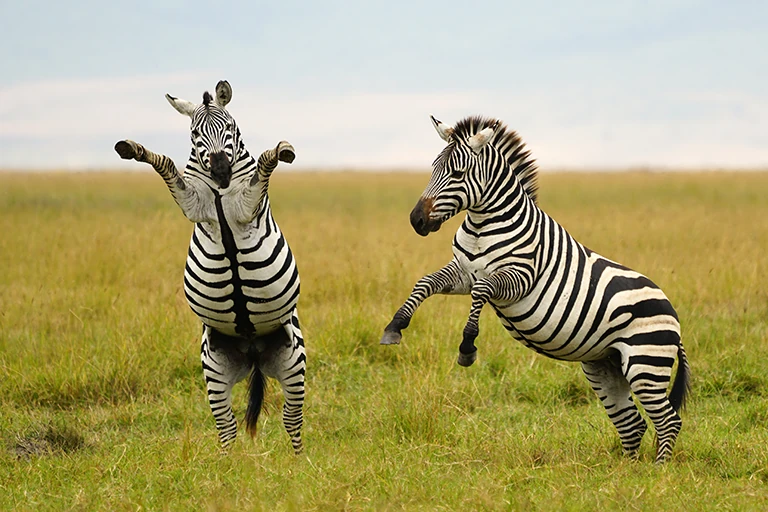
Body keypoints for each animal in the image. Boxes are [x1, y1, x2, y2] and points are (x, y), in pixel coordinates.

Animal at [114, 80, 306, 454]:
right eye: (194, 134)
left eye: (230, 127)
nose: (220, 171)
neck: (219, 191)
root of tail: (253, 351)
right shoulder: (193, 204)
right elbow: (166, 165)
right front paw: (133, 148)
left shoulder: (248, 204)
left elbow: (265, 163)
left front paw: (284, 149)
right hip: (214, 370)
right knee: (226, 426)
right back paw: (227, 464)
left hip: (294, 362)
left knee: (292, 420)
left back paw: (299, 464)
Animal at [380, 115, 690, 463]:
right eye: (433, 169)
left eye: (457, 174)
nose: (416, 220)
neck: (482, 226)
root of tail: (674, 315)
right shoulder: (462, 272)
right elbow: (425, 282)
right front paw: (395, 325)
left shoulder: (519, 276)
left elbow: (482, 290)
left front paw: (468, 345)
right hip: (605, 364)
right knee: (632, 423)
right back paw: (627, 469)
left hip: (645, 361)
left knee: (667, 420)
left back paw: (657, 470)